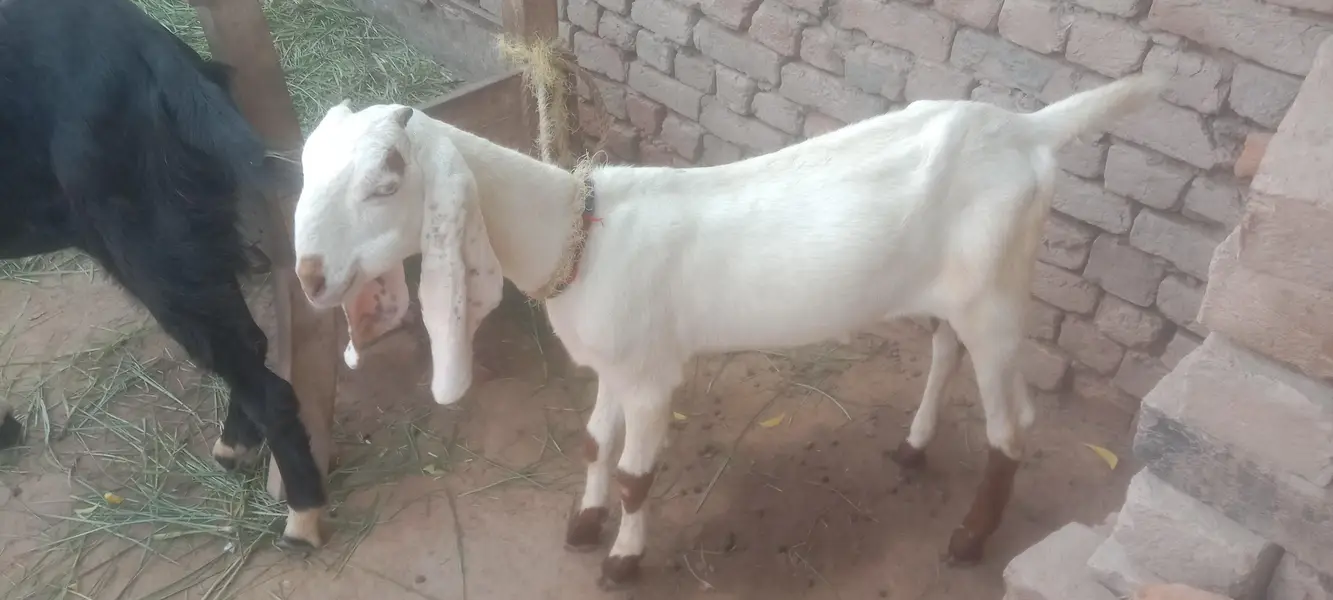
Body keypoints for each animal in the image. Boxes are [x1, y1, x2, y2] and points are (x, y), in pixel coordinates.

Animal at [0, 0, 325, 548]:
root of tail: (146, 45)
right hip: (176, 244)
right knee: (249, 346)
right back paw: (237, 445)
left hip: (147, 252)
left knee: (269, 388)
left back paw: (303, 514)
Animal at [290, 73, 1163, 587]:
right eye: (305, 166)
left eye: (384, 185)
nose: (309, 277)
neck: (579, 234)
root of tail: (1028, 132)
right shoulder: (612, 362)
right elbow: (592, 443)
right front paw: (583, 523)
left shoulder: (651, 375)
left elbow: (636, 474)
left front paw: (623, 559)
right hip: (959, 293)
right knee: (945, 350)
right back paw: (913, 450)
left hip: (997, 295)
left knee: (1013, 422)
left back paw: (970, 539)